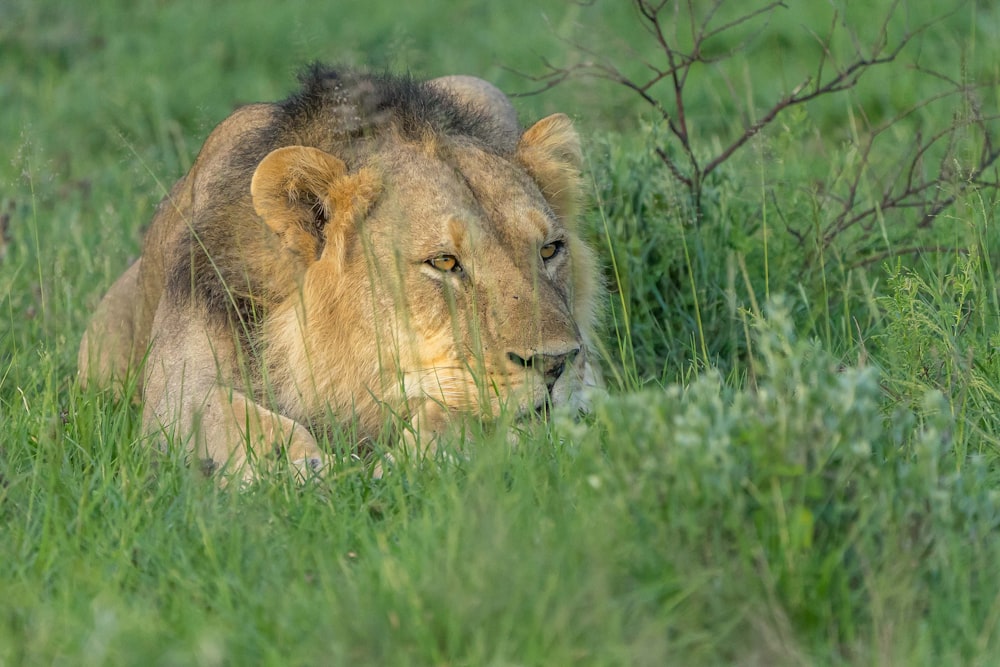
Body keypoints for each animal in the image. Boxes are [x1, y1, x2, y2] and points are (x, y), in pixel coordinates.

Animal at [80, 65, 600, 482]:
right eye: (445, 262)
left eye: (549, 250)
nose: (557, 363)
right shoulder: (172, 395)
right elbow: (231, 417)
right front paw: (305, 470)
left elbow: (458, 408)